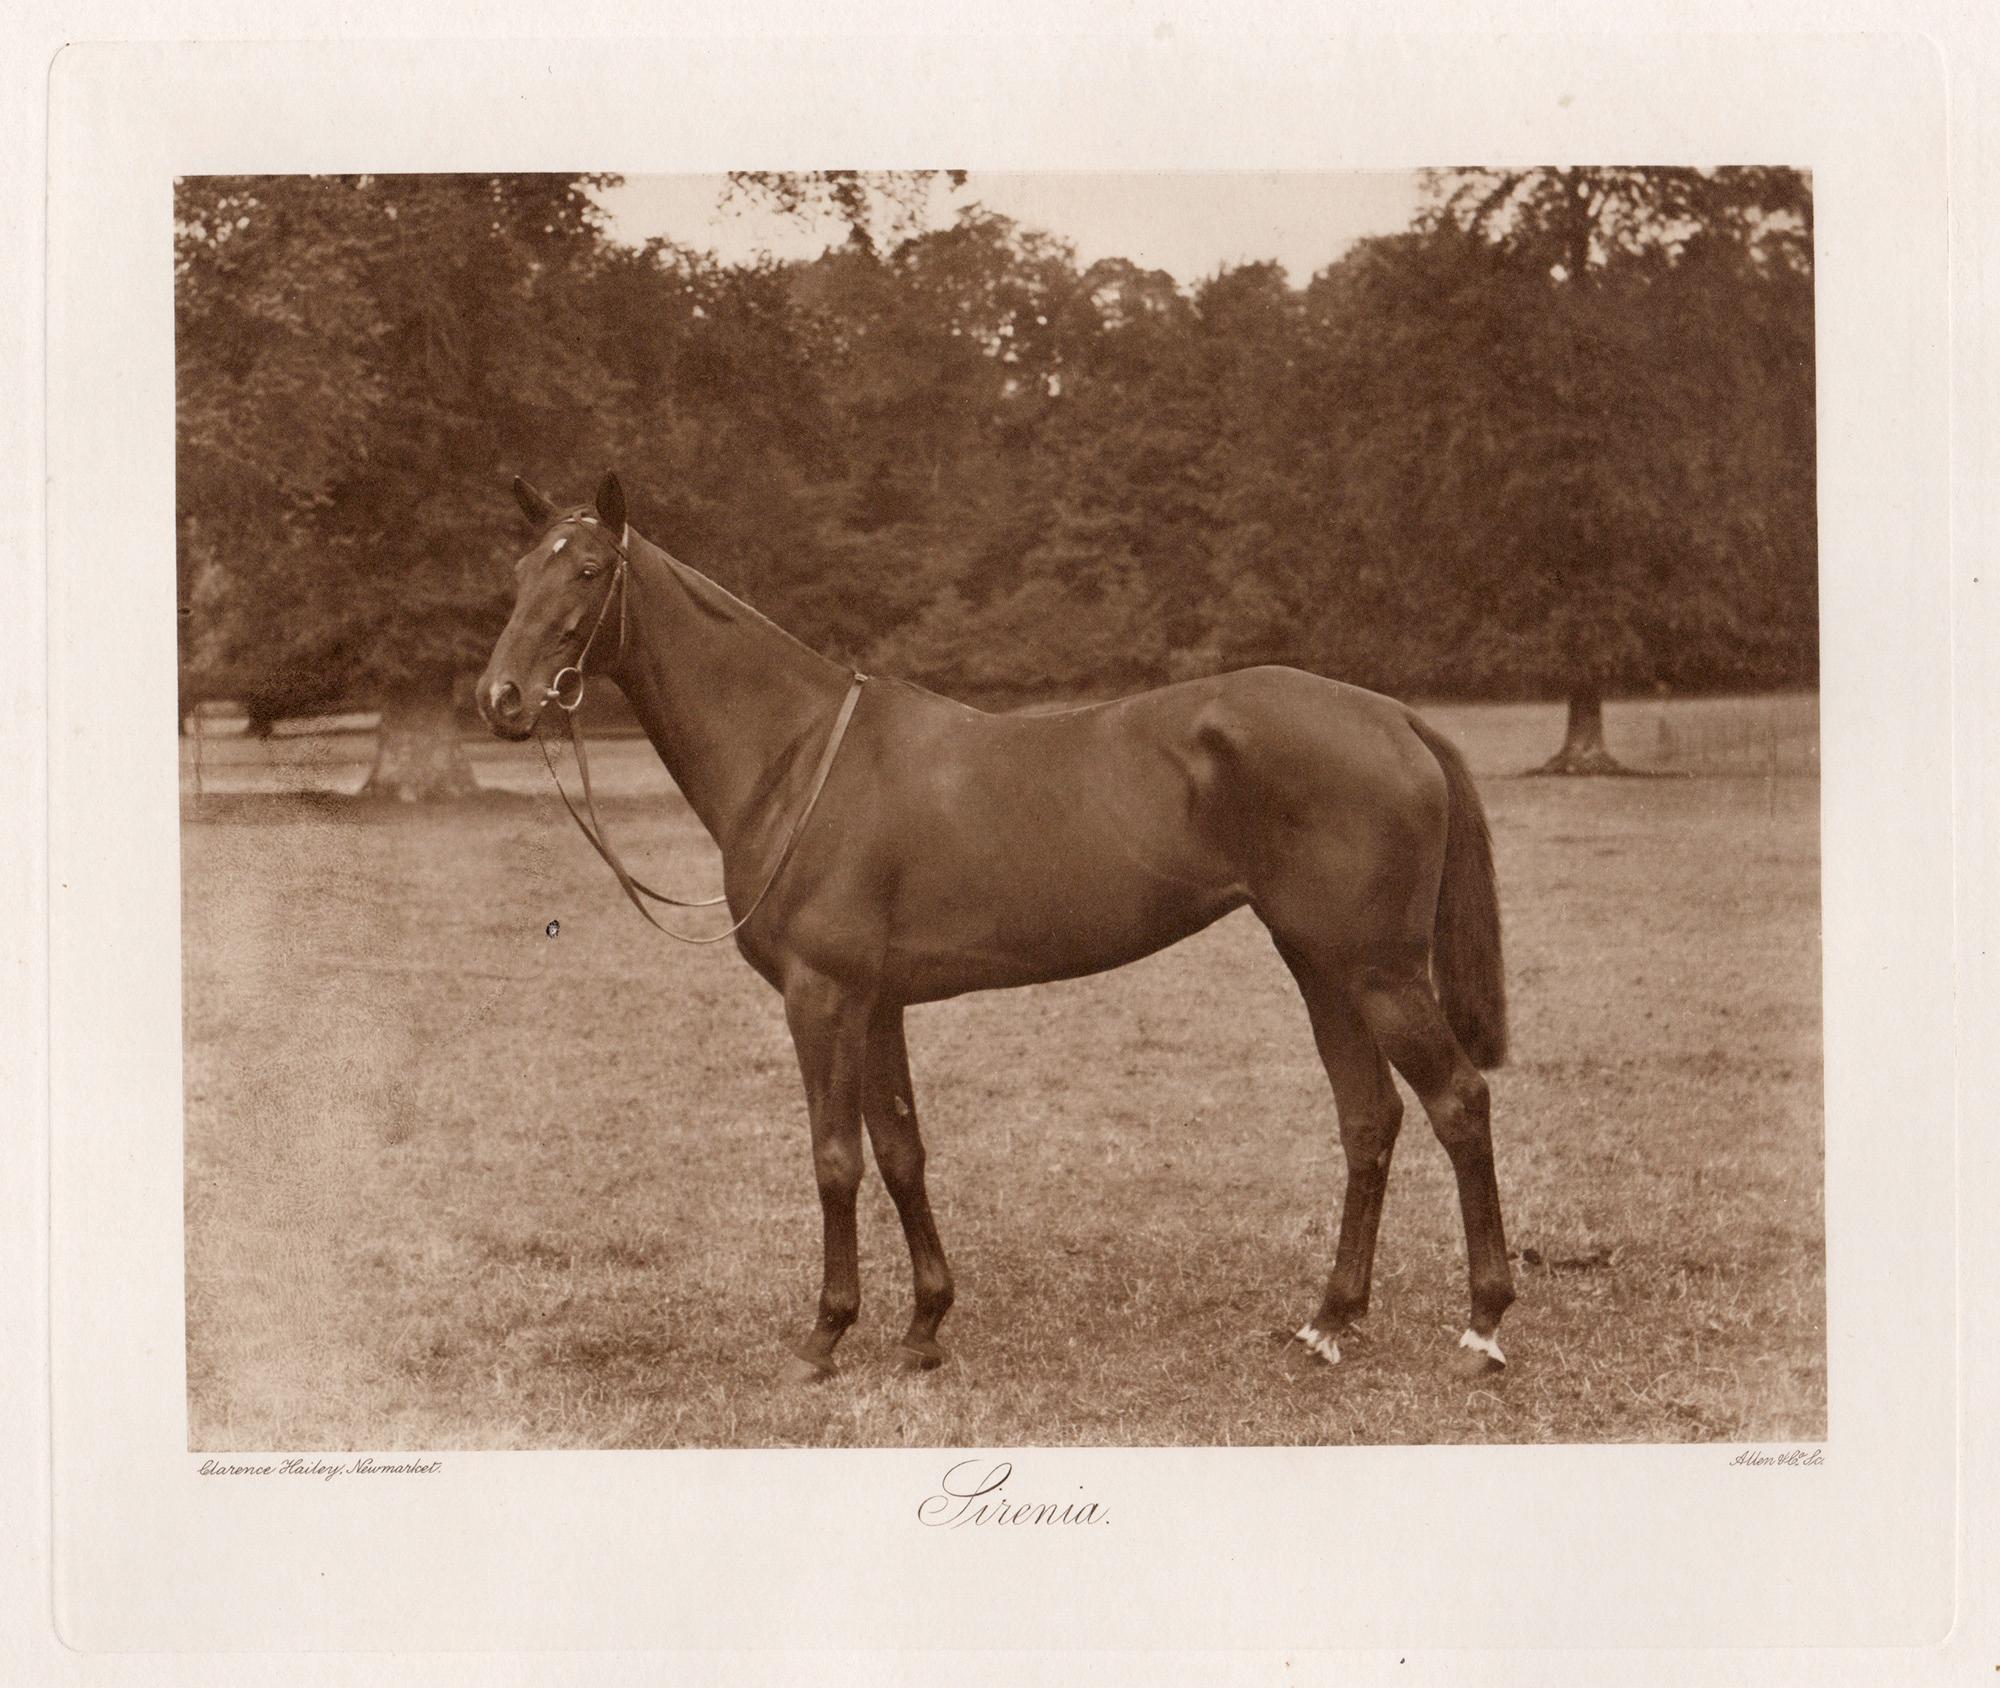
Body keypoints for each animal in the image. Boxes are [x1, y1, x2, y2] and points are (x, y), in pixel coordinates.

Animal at [477, 472, 1515, 1385]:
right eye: (521, 568)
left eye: (587, 570)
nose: (501, 699)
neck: (797, 758)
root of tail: (1394, 716)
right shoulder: (878, 1005)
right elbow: (901, 1154)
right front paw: (924, 1327)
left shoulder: (823, 998)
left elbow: (834, 1161)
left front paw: (825, 1335)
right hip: (1319, 963)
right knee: (1368, 1118)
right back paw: (1330, 1321)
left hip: (1378, 971)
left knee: (1458, 1103)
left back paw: (1483, 1326)